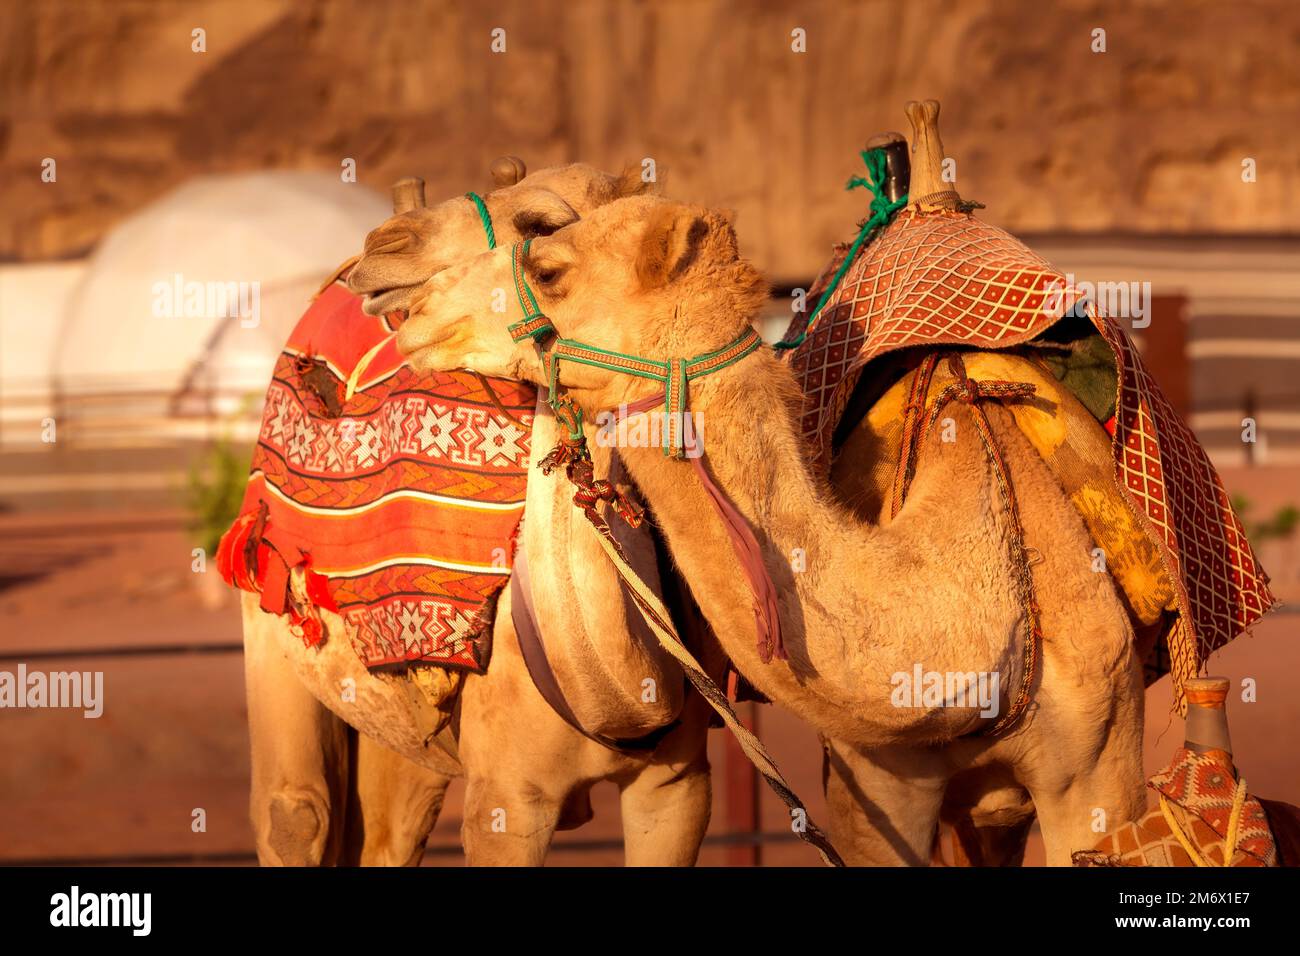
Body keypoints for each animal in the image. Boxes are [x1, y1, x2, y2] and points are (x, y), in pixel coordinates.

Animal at [243, 162, 715, 866]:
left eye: (541, 228)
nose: (384, 244)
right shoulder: (509, 800)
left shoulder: (677, 785)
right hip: (268, 611)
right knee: (296, 813)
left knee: (392, 826)